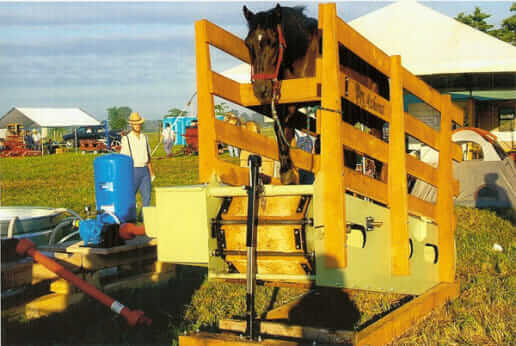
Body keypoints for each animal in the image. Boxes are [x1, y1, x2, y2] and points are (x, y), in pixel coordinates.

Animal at [243, 4, 388, 185]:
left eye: (273, 42)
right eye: (248, 44)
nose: (261, 89)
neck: (306, 57)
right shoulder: (289, 104)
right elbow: (281, 130)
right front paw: (287, 172)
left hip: (375, 121)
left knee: (378, 153)